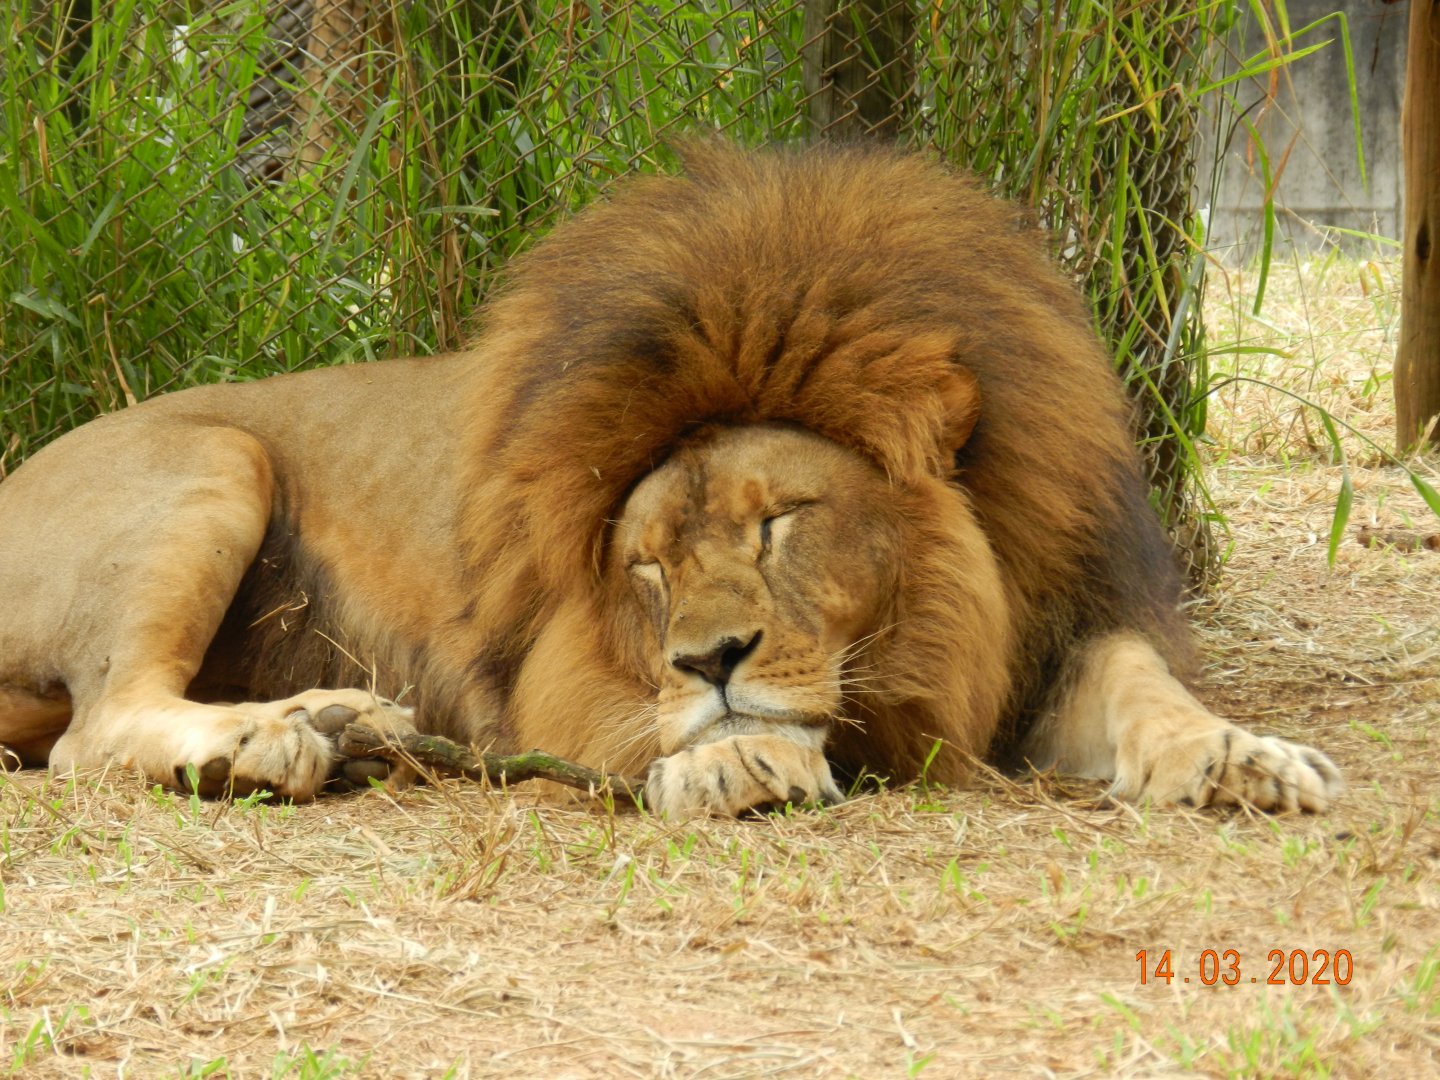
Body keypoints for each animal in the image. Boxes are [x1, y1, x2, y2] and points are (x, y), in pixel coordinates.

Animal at [0, 143, 1341, 816]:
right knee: (98, 727)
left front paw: (1241, 757)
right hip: (214, 459)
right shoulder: (545, 675)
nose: (712, 660)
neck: (938, 620)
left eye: (781, 523)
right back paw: (269, 742)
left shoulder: (1055, 619)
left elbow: (1141, 682)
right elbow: (643, 725)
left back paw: (339, 722)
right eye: (643, 567)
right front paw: (735, 756)